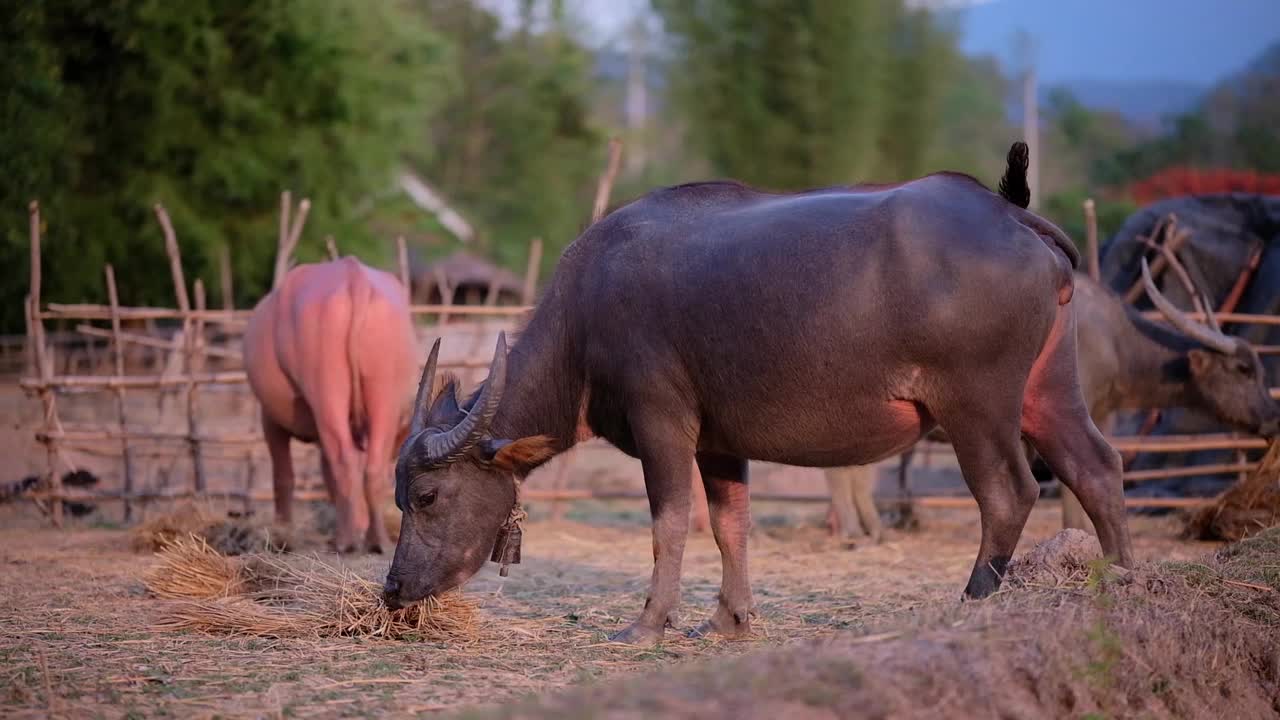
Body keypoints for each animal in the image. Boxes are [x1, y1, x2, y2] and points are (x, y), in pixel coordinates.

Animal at [243, 256, 414, 548]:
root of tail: (353, 276)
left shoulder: (270, 419)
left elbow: (283, 476)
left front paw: (283, 533)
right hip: (384, 390)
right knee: (372, 468)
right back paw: (376, 540)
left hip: (326, 386)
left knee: (342, 461)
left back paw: (345, 541)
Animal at [378, 142, 1131, 640]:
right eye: (399, 498)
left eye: (428, 496)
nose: (393, 590)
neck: (585, 320)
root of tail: (1006, 213)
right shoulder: (719, 442)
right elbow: (730, 523)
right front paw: (730, 620)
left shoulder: (662, 424)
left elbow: (670, 522)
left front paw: (649, 623)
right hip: (1049, 392)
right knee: (1097, 467)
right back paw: (1124, 581)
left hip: (977, 405)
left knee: (1010, 491)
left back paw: (973, 599)